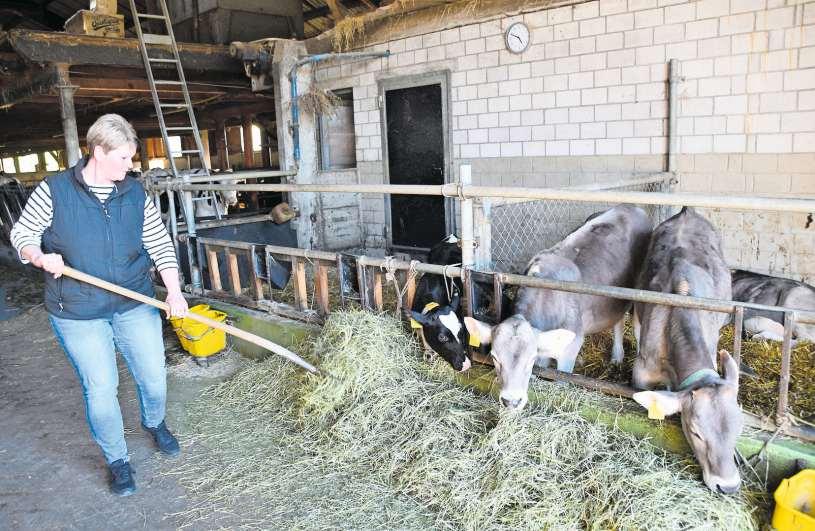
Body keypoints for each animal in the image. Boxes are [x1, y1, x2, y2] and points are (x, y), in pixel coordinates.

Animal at [464, 204, 653, 410]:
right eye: (494, 357)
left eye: (530, 359)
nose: (511, 401)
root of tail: (630, 207)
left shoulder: (570, 347)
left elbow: (562, 380)